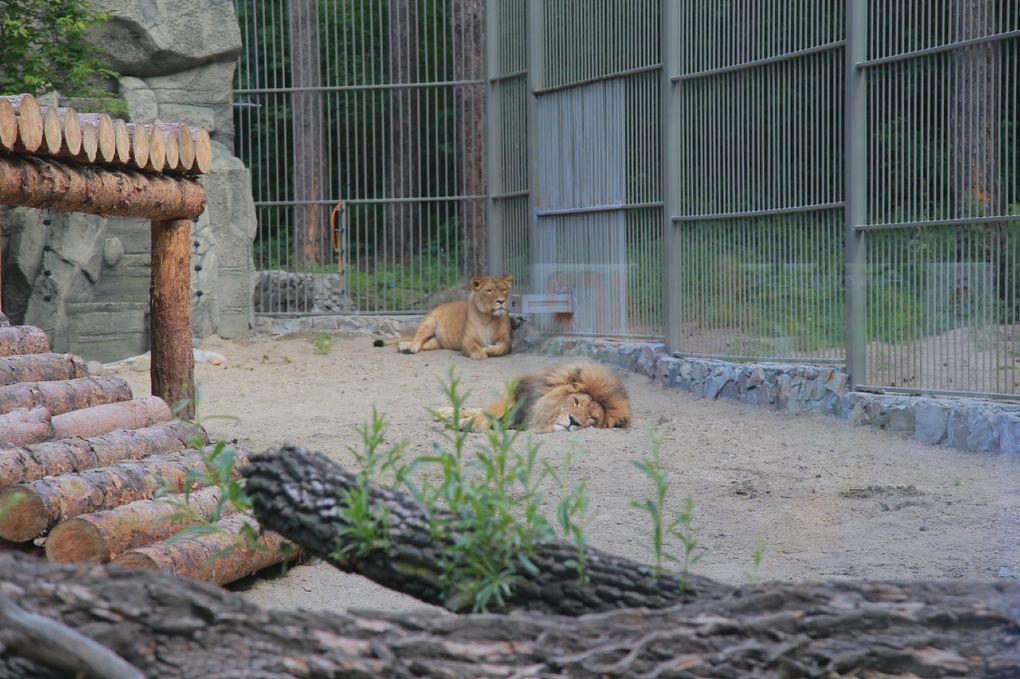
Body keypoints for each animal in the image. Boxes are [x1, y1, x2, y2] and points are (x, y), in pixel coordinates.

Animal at [375, 273, 514, 358]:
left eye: (504, 290)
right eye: (489, 291)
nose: (501, 301)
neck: (488, 317)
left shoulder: (506, 341)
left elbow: (500, 348)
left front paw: (486, 349)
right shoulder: (467, 339)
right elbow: (473, 346)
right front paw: (479, 353)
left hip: (435, 342)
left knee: (423, 344)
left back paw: (403, 347)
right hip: (428, 323)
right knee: (417, 340)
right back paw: (408, 347)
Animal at [436, 358, 628, 434]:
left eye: (592, 418)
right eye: (576, 401)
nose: (574, 421)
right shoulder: (520, 389)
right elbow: (491, 410)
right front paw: (471, 423)